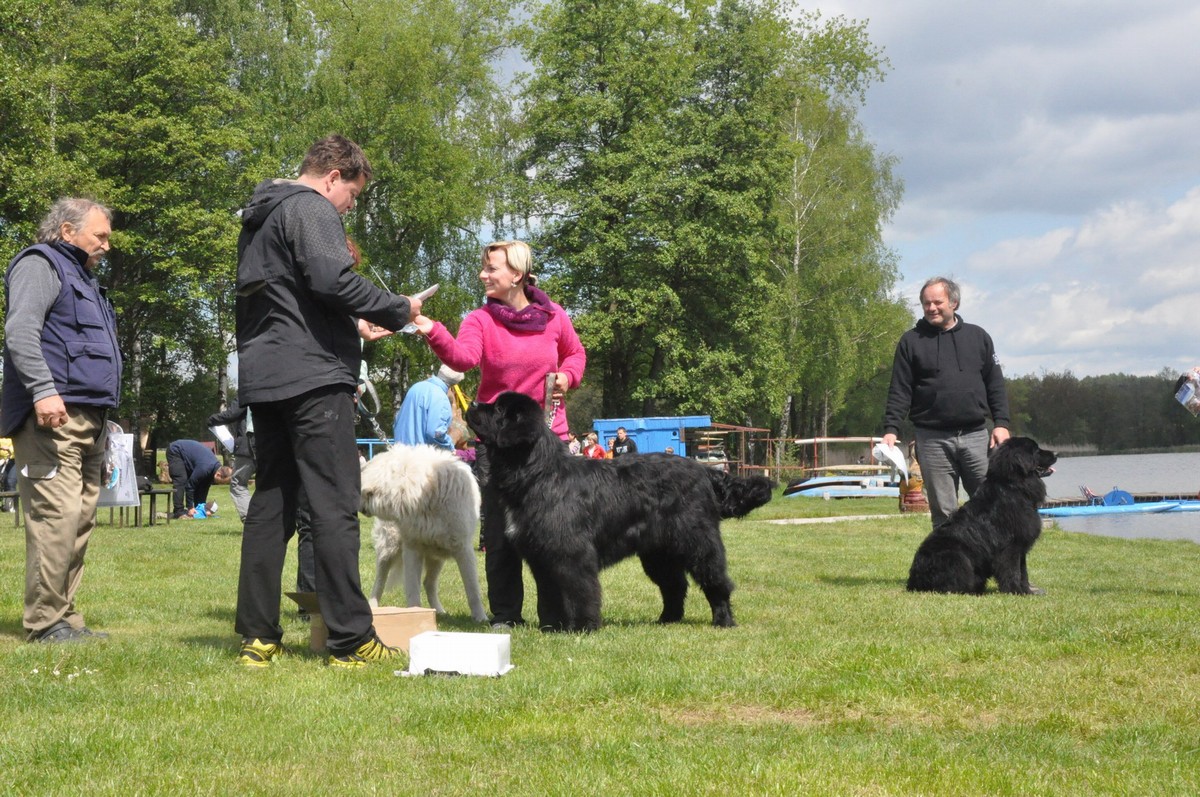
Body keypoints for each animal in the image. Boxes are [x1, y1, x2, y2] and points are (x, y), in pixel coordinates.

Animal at [359, 445, 488, 623]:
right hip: (389, 550)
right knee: (379, 582)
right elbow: (413, 589)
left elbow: (473, 590)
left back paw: (439, 611)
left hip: (437, 556)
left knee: (428, 583)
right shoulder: (412, 549)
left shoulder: (463, 549)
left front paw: (481, 618)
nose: (357, 508)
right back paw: (374, 607)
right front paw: (414, 613)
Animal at [466, 391, 775, 631]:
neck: (537, 474)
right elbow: (551, 594)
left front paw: (584, 626)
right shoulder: (541, 555)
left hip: (698, 541)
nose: (472, 403)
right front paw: (553, 627)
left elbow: (581, 591)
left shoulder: (572, 553)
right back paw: (666, 620)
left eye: (499, 409)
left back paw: (723, 620)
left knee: (716, 582)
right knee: (674, 586)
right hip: (658, 553)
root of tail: (703, 470)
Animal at [906, 436, 1057, 595]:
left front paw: (1027, 591)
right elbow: (1013, 571)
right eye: (1036, 450)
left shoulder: (1021, 546)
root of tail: (913, 580)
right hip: (956, 556)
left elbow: (1023, 572)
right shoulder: (1011, 546)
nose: (1056, 453)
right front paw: (1015, 591)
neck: (1013, 486)